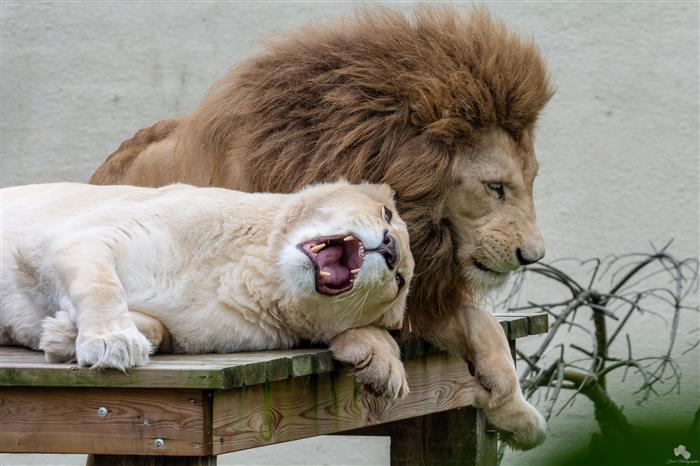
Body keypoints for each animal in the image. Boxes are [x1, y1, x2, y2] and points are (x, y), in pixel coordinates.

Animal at [0, 181, 414, 399]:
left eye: (399, 283)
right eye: (386, 214)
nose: (390, 249)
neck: (256, 270)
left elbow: (158, 329)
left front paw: (61, 335)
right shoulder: (87, 234)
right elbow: (101, 284)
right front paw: (111, 341)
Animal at [91, 7, 553, 449]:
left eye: (531, 181)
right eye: (495, 187)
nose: (533, 256)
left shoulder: (423, 293)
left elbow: (484, 325)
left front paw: (517, 412)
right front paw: (379, 357)